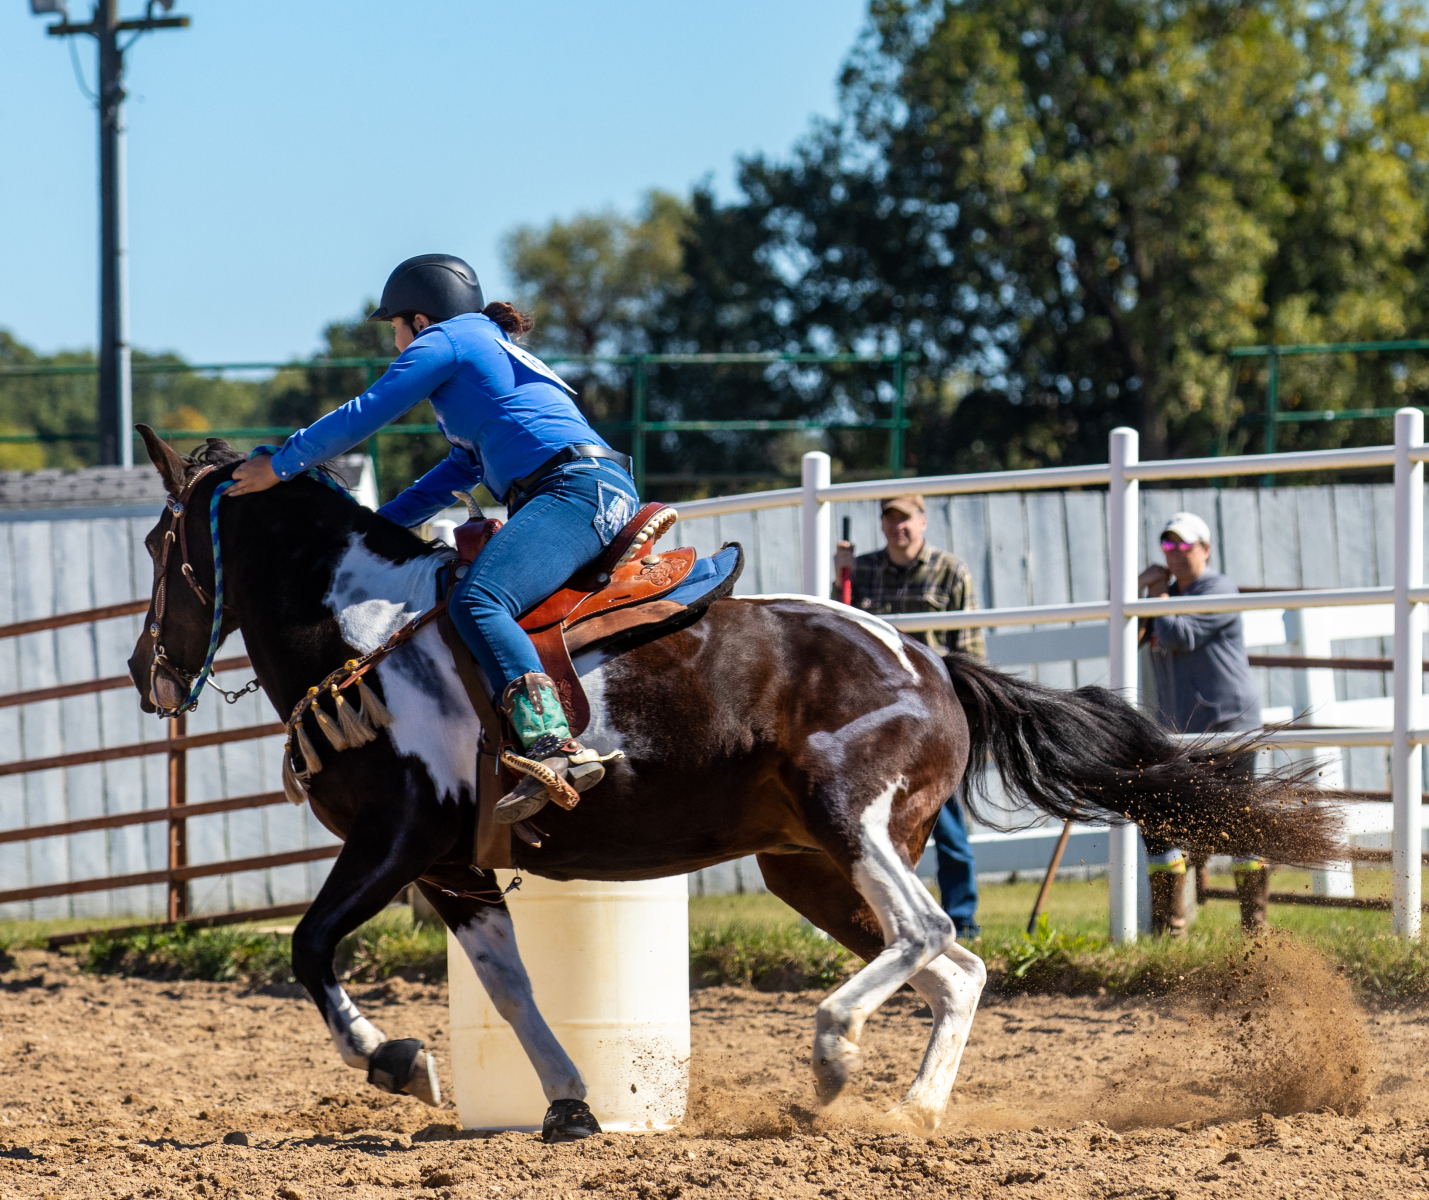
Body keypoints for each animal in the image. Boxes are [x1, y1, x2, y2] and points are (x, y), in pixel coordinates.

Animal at [125, 430, 1342, 1139]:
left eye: (155, 542)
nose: (148, 674)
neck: (370, 633)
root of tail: (932, 660)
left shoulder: (394, 839)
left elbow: (309, 948)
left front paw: (397, 1062)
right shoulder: (457, 872)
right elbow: (514, 990)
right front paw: (568, 1104)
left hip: (854, 823)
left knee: (924, 937)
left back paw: (836, 1055)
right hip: (806, 866)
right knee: (959, 968)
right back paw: (910, 1107)